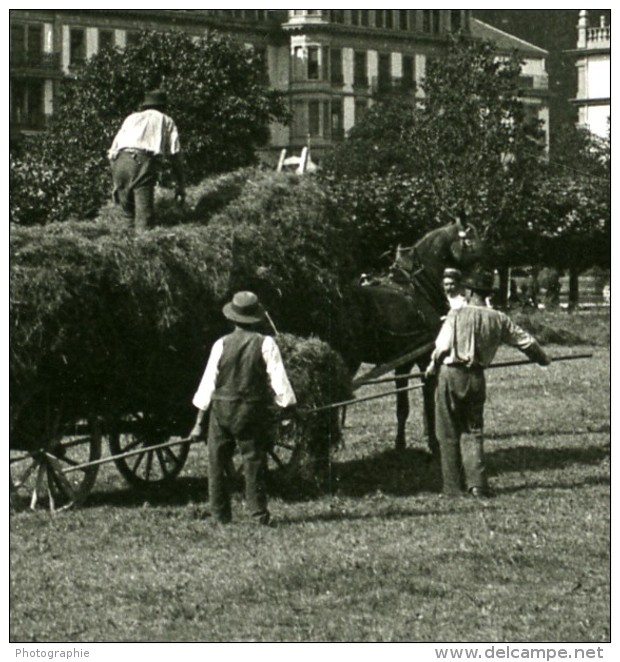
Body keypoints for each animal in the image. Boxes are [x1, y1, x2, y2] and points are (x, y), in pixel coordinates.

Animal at [334, 222, 484, 456]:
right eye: (469, 241)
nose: (486, 281)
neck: (418, 288)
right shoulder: (425, 360)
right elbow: (428, 404)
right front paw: (432, 443)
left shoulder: (402, 363)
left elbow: (402, 407)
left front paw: (400, 444)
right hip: (348, 361)